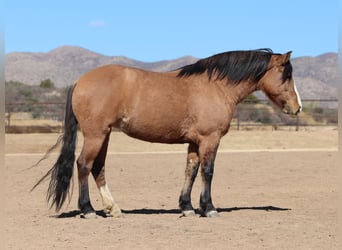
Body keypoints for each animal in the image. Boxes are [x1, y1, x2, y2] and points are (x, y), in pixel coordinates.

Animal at [33, 47, 302, 218]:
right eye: (286, 75)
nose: (297, 107)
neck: (215, 87)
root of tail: (81, 81)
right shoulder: (210, 139)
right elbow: (208, 172)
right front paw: (209, 208)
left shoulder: (194, 142)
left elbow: (190, 171)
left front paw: (187, 207)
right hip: (95, 135)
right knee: (83, 165)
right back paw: (88, 210)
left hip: (104, 135)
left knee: (98, 168)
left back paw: (113, 209)